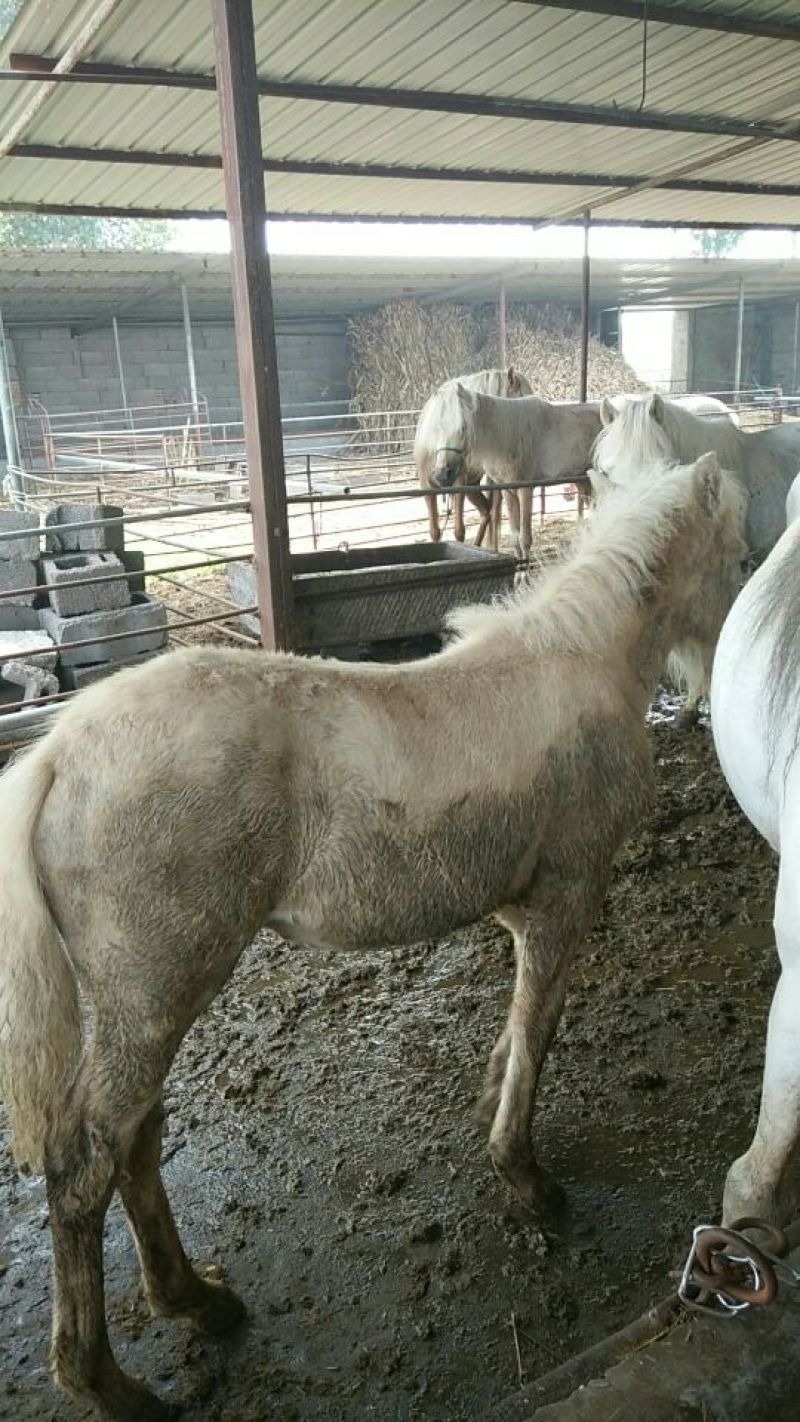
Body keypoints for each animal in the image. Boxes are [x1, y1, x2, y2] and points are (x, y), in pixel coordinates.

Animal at [0, 454, 744, 1422]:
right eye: (739, 552)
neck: (582, 662)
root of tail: (58, 758)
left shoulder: (518, 907)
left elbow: (513, 1028)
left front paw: (490, 1113)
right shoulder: (569, 898)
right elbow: (539, 1029)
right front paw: (525, 1177)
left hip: (143, 1004)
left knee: (135, 1136)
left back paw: (198, 1300)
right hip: (155, 992)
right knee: (87, 1160)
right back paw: (112, 1381)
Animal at [414, 366, 532, 549]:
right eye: (523, 396)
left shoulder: (459, 484)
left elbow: (459, 531)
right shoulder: (427, 486)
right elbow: (434, 531)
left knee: (491, 512)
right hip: (472, 485)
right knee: (487, 511)